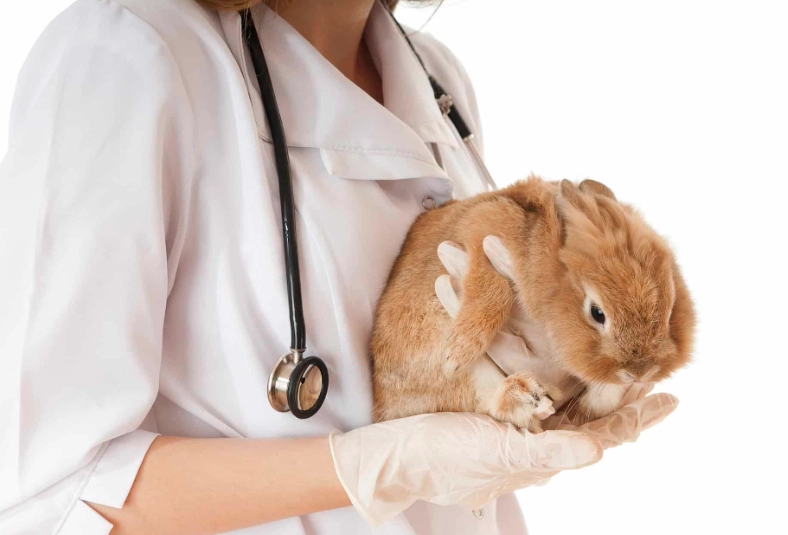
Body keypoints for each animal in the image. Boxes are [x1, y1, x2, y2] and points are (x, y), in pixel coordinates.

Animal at [371, 176, 695, 432]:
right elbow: (493, 288)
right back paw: (526, 396)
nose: (639, 372)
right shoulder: (481, 230)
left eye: (670, 308)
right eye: (597, 313)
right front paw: (459, 352)